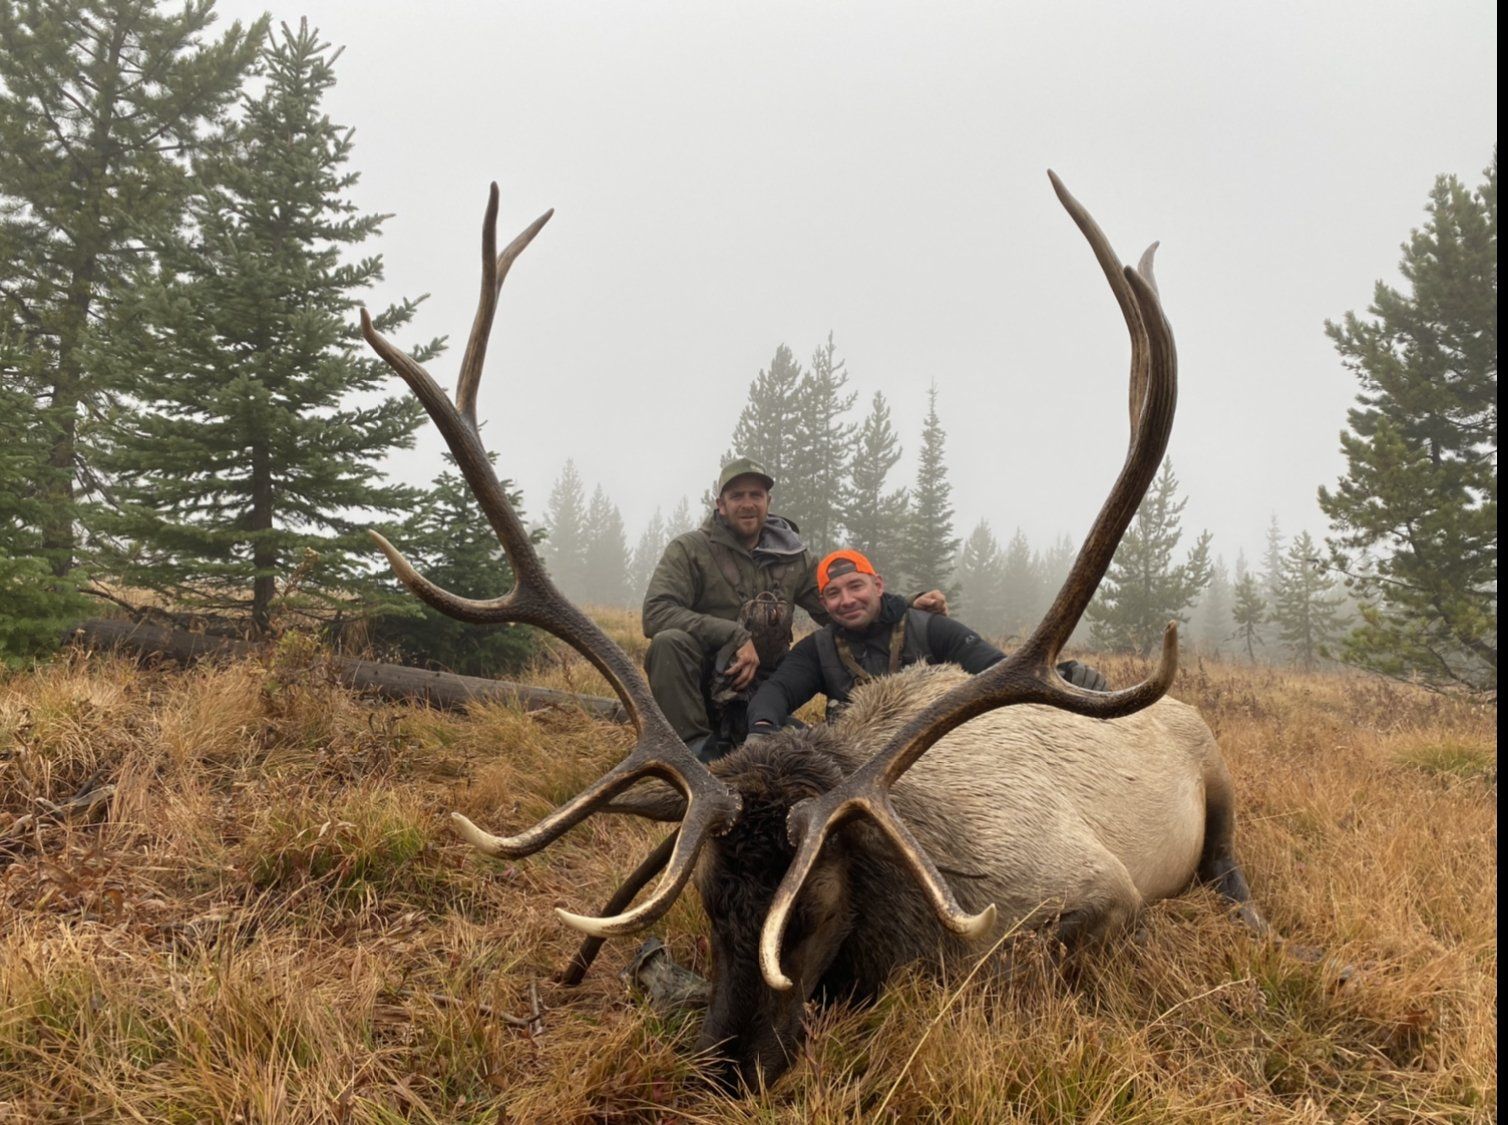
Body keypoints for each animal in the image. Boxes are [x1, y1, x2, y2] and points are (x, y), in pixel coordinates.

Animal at [358, 172, 1266, 1091]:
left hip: (1218, 773)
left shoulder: (1103, 892)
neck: (912, 894)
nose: (725, 1067)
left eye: (816, 912)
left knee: (1228, 861)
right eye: (707, 900)